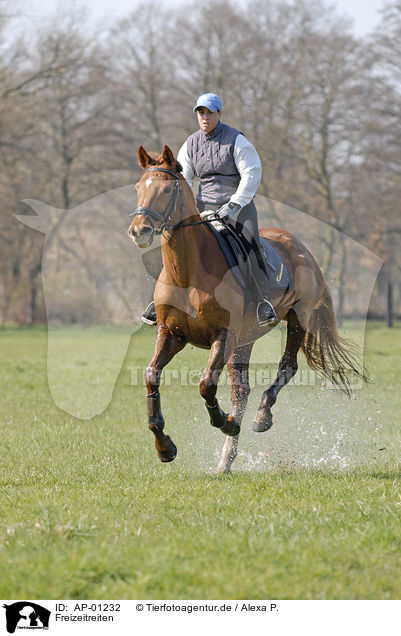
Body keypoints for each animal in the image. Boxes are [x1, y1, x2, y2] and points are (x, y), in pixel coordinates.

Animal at [128, 144, 366, 472]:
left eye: (166, 189)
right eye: (139, 188)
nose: (139, 230)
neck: (188, 274)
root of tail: (302, 249)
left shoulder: (224, 335)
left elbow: (206, 385)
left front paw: (225, 422)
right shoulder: (171, 334)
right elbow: (152, 375)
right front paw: (165, 447)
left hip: (296, 319)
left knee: (286, 368)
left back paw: (261, 418)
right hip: (246, 339)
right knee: (241, 391)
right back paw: (226, 459)